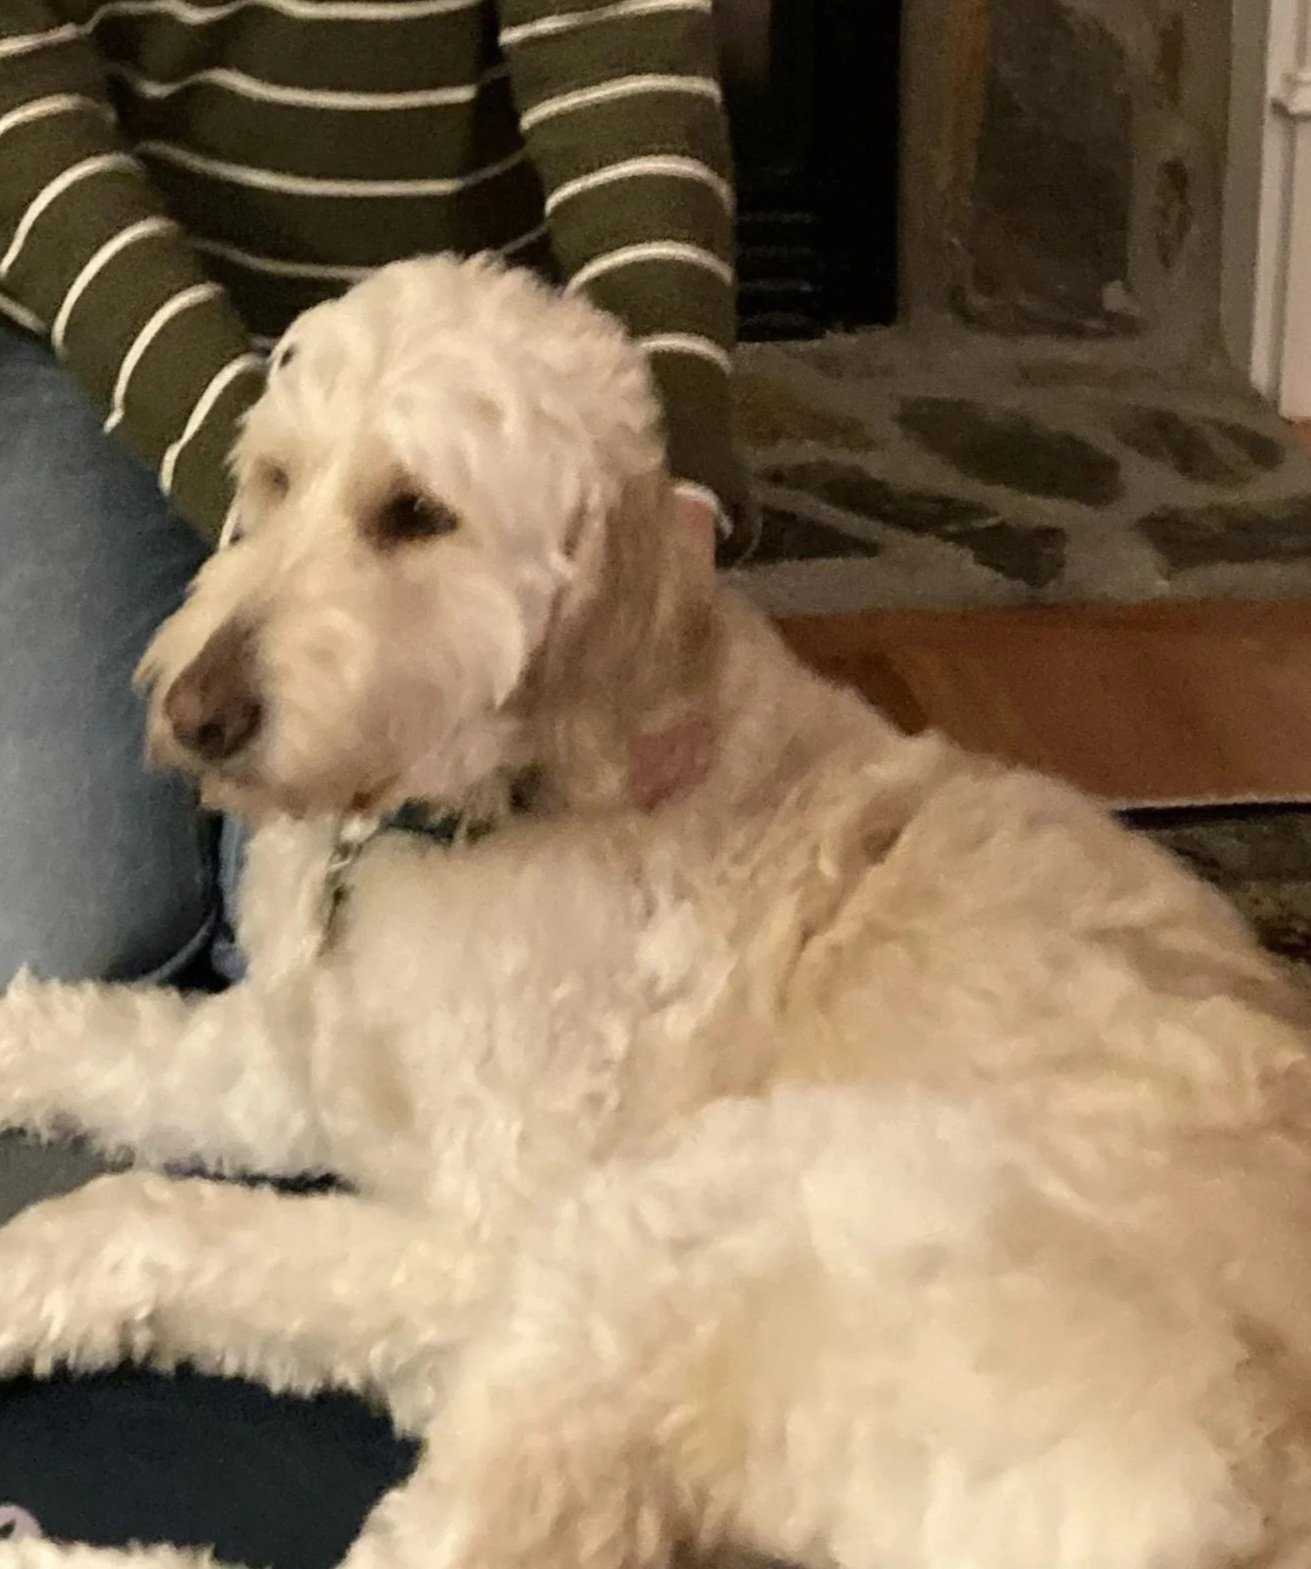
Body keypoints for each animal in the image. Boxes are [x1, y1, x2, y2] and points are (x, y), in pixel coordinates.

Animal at [0, 253, 1310, 1569]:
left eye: (415, 513)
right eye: (275, 480)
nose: (194, 712)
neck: (467, 809)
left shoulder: (480, 1240)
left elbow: (165, 1213)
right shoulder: (298, 1074)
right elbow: (106, 1036)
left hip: (676, 1228)